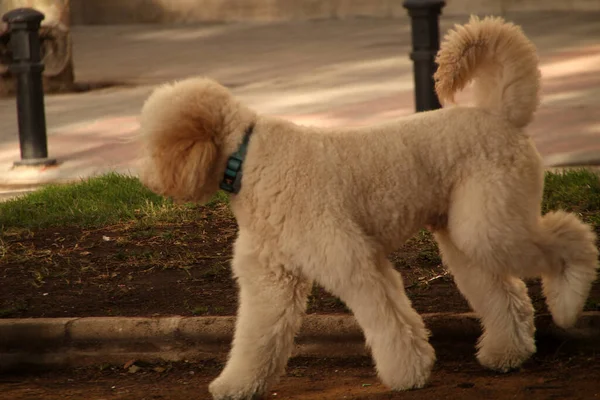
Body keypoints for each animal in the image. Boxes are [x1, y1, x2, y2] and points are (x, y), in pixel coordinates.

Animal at [138, 16, 596, 400]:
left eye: (153, 140)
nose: (143, 175)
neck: (249, 158)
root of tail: (499, 114)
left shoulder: (353, 261)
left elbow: (388, 320)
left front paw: (408, 373)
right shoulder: (270, 280)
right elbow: (256, 337)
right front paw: (237, 385)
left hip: (488, 225)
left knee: (572, 240)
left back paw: (568, 305)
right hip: (467, 235)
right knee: (507, 294)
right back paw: (508, 352)